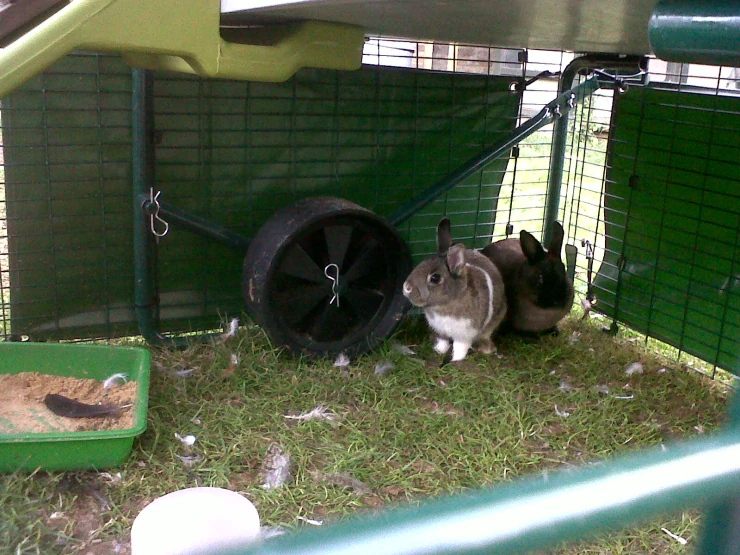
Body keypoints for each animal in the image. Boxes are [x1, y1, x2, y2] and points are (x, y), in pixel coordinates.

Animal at [403, 218, 507, 362]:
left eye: (435, 278)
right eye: (421, 263)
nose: (406, 287)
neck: (445, 305)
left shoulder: (464, 334)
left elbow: (460, 347)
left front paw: (456, 359)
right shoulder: (440, 331)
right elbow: (443, 341)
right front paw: (439, 351)